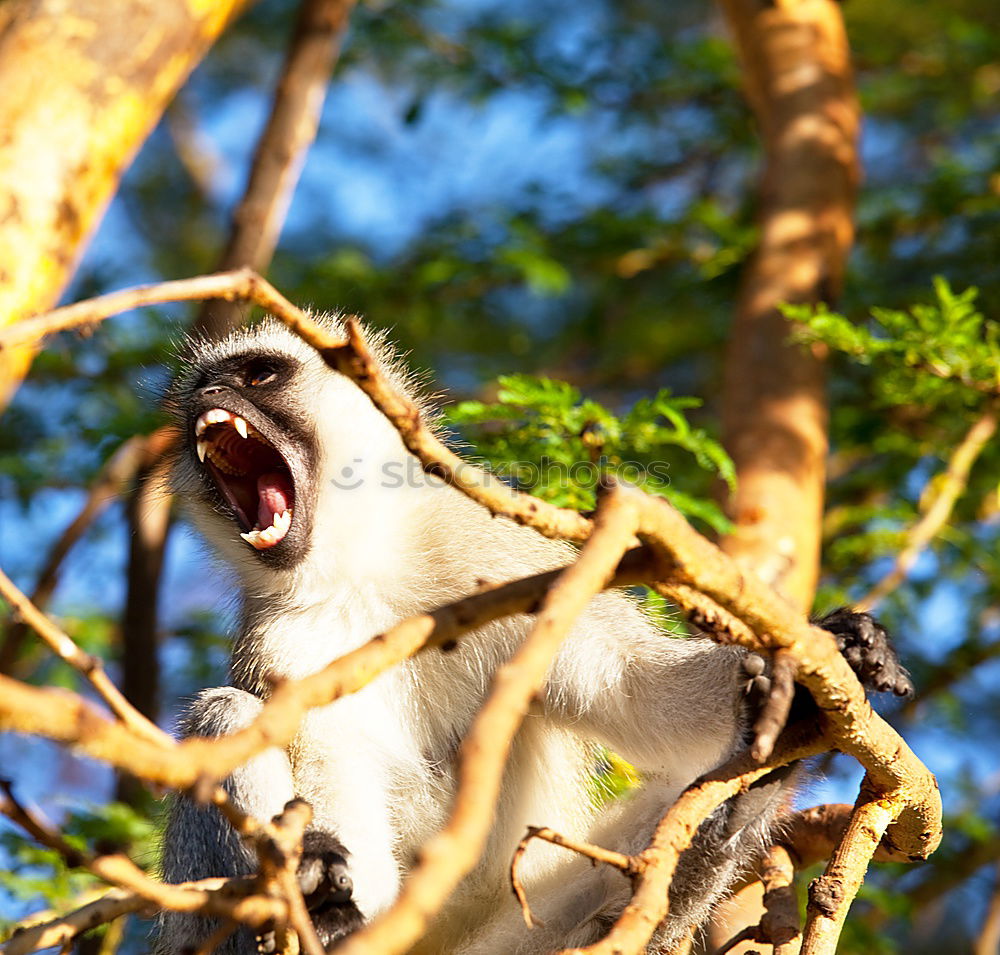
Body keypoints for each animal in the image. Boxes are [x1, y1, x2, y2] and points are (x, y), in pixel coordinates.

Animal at [154, 316, 908, 955]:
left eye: (258, 374)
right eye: (198, 395)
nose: (208, 400)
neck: (362, 569)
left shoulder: (506, 560)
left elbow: (636, 690)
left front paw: (825, 661)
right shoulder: (283, 645)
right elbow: (327, 765)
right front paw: (322, 885)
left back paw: (756, 783)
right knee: (224, 714)